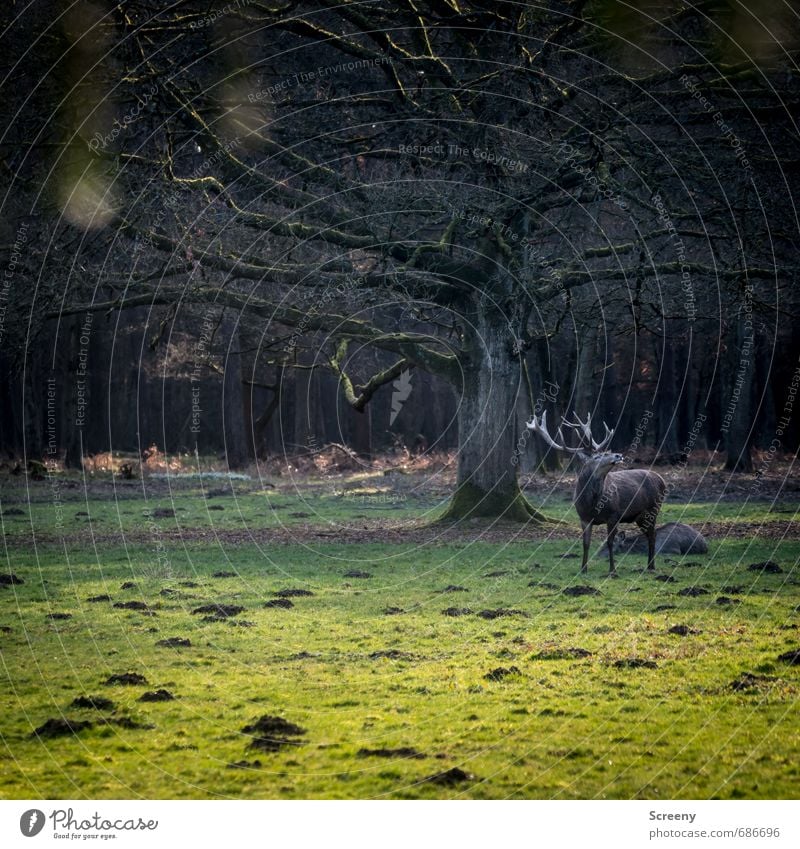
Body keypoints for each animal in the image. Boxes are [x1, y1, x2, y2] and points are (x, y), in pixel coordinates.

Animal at [528, 412, 664, 572]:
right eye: (597, 456)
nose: (618, 455)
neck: (592, 504)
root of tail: (662, 479)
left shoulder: (614, 515)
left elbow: (610, 542)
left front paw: (612, 569)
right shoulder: (584, 518)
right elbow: (585, 543)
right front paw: (583, 569)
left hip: (653, 509)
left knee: (653, 535)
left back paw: (651, 566)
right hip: (639, 516)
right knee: (650, 535)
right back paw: (649, 565)